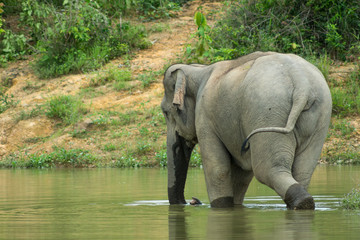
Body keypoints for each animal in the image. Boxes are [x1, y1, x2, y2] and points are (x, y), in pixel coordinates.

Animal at [162, 51, 334, 209]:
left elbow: (218, 170)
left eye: (164, 112)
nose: (190, 201)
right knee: (303, 170)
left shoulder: (205, 117)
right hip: (320, 118)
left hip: (267, 111)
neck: (199, 69)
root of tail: (302, 85)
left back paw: (303, 202)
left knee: (267, 170)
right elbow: (241, 174)